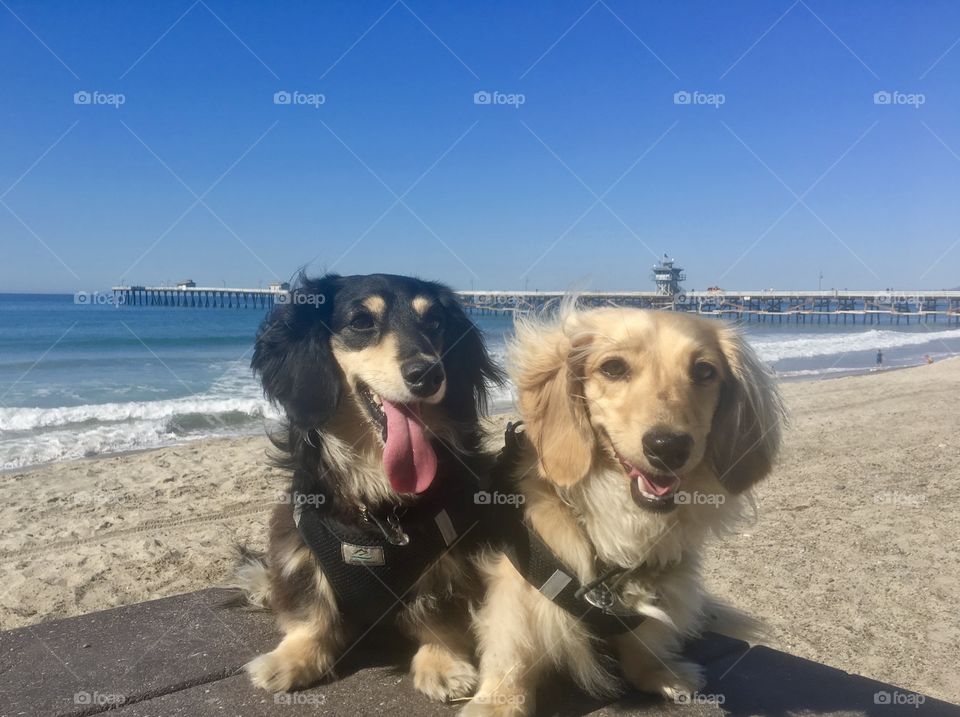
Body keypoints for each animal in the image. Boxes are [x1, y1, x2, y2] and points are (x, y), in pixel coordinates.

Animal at [238, 272, 502, 700]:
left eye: (435, 323)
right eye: (361, 322)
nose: (428, 374)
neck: (378, 505)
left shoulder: (454, 557)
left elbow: (441, 616)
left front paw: (443, 663)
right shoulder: (298, 537)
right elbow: (311, 610)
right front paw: (292, 657)